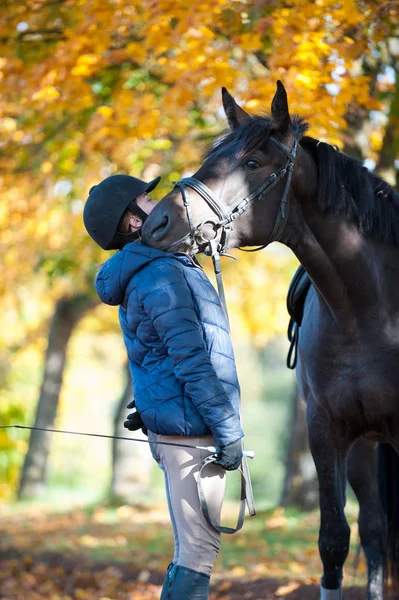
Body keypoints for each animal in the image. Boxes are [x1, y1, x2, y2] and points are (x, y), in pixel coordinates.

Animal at [142, 81, 399, 600]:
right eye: (211, 157)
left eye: (253, 163)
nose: (157, 224)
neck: (371, 309)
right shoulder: (328, 432)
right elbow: (334, 540)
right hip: (366, 447)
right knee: (376, 530)